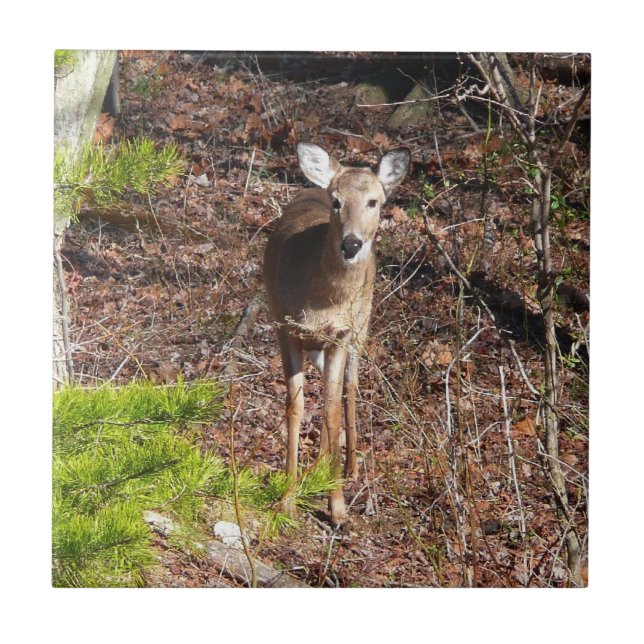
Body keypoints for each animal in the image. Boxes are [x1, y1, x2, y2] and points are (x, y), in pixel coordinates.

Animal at [263, 142, 410, 528]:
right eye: (336, 201)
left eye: (374, 201)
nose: (351, 244)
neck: (322, 301)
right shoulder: (285, 327)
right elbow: (296, 407)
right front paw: (287, 499)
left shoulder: (341, 334)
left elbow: (329, 410)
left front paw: (338, 507)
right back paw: (319, 467)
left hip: (362, 325)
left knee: (349, 388)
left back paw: (349, 467)